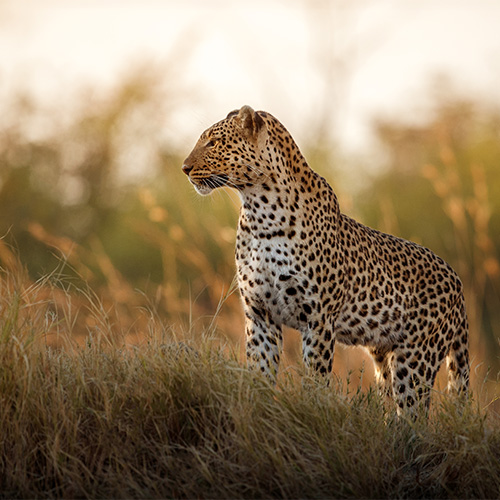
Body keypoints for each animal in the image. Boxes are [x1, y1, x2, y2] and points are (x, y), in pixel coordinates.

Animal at [182, 103, 470, 412]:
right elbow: (259, 375)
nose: (184, 168)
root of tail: (457, 282)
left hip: (416, 359)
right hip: (384, 357)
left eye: (213, 143)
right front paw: (257, 411)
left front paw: (311, 410)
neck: (260, 212)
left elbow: (315, 380)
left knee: (413, 412)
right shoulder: (260, 314)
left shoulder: (317, 318)